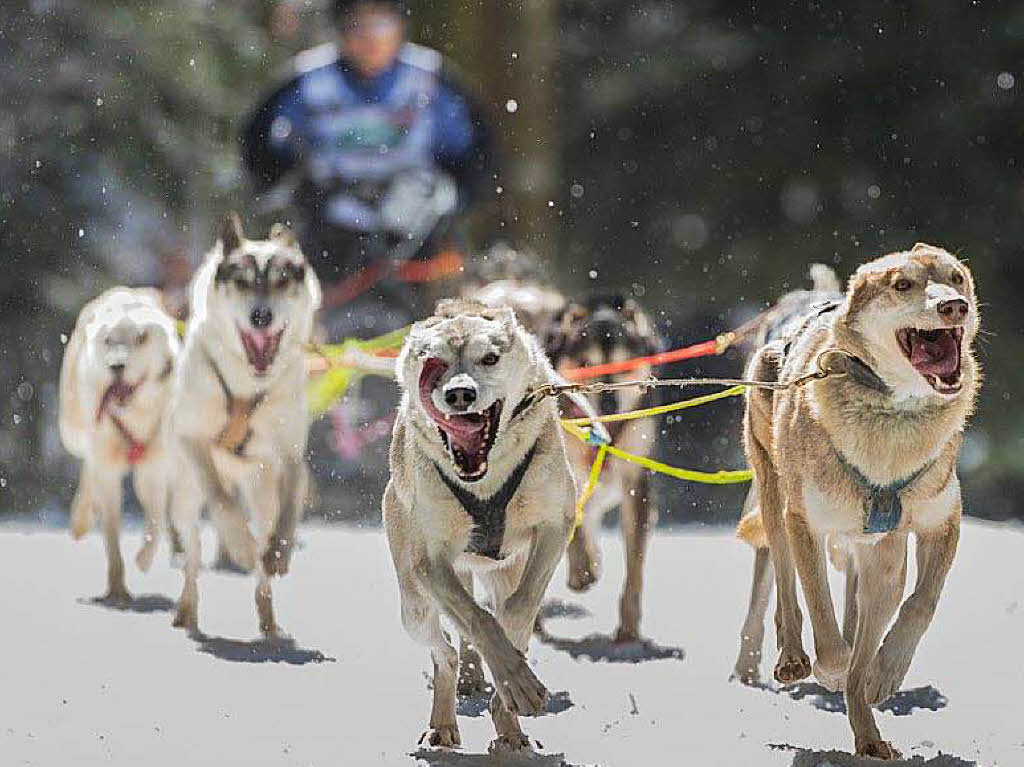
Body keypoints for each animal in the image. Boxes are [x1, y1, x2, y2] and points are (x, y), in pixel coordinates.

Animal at [60, 286, 181, 598]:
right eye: (108, 340)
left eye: (141, 338)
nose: (116, 365)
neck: (133, 414)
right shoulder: (107, 469)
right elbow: (111, 534)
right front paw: (117, 588)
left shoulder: (153, 469)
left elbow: (156, 522)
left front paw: (143, 559)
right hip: (73, 433)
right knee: (88, 467)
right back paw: (82, 518)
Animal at [166, 214, 319, 634]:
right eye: (242, 281)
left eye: (282, 280)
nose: (261, 316)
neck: (247, 385)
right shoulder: (192, 441)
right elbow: (220, 499)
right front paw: (237, 541)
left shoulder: (289, 455)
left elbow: (290, 506)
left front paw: (279, 552)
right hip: (185, 497)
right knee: (193, 553)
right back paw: (188, 607)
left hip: (261, 492)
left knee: (263, 551)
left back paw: (268, 618)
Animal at [385, 301, 577, 753]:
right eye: (432, 360)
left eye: (489, 358)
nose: (459, 394)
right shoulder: (429, 561)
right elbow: (479, 621)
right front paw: (512, 680)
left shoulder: (554, 528)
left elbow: (517, 612)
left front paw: (511, 689)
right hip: (414, 606)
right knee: (447, 653)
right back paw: (444, 719)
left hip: (506, 568)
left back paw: (509, 728)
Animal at [544, 296, 663, 643]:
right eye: (586, 364)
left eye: (623, 366)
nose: (609, 405)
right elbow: (574, 530)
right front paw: (581, 569)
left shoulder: (636, 482)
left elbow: (635, 564)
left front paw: (629, 628)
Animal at [741, 242, 978, 757]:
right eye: (903, 284)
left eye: (956, 278)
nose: (954, 307)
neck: (894, 412)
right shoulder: (806, 522)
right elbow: (822, 617)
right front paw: (831, 667)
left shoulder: (931, 527)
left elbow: (920, 604)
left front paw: (882, 675)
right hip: (775, 495)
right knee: (784, 579)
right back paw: (793, 655)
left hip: (873, 550)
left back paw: (868, 728)